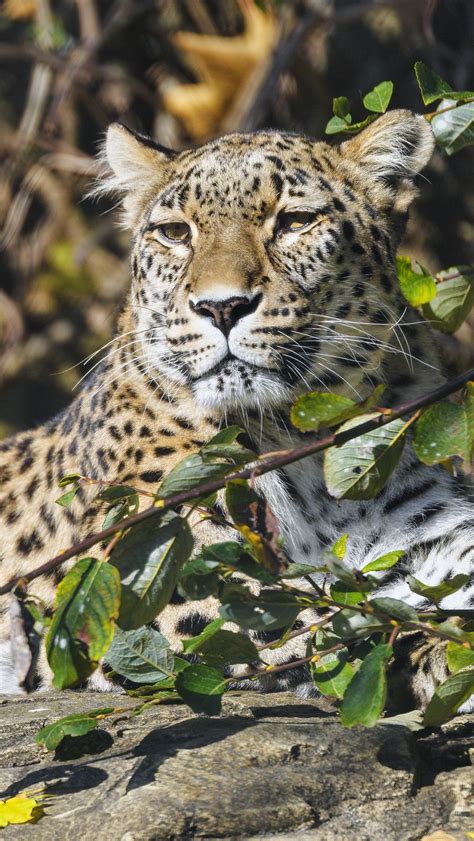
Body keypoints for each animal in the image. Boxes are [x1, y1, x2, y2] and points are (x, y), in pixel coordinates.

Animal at [0, 109, 473, 710]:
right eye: (176, 233)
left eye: (295, 222)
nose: (221, 307)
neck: (304, 445)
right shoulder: (162, 579)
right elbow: (339, 625)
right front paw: (439, 654)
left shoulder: (437, 542)